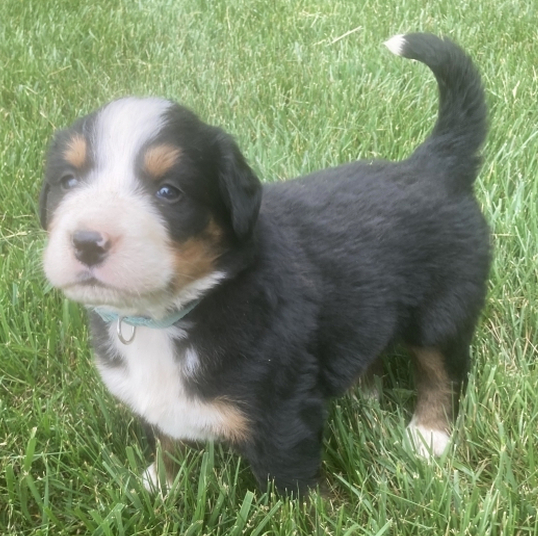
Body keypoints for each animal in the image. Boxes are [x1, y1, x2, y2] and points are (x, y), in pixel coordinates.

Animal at [39, 33, 490, 493]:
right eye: (68, 182)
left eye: (169, 192)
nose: (87, 242)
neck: (172, 314)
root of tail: (432, 163)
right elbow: (167, 437)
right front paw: (159, 484)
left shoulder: (284, 416)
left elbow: (289, 489)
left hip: (444, 308)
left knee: (443, 370)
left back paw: (429, 435)